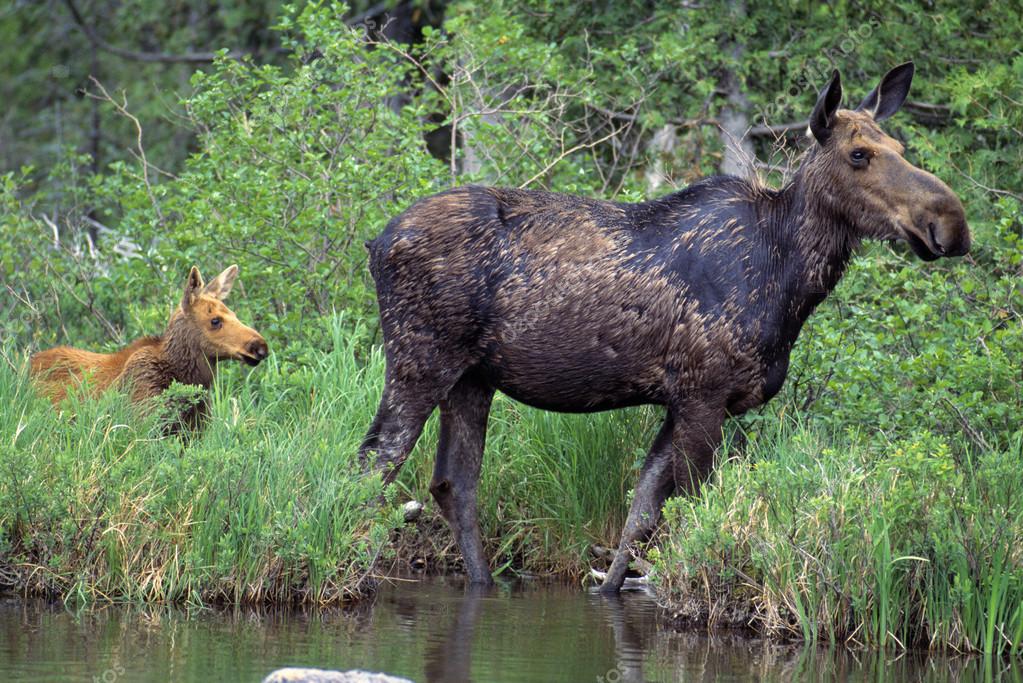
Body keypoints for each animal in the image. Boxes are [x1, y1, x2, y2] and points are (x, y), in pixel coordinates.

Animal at [358, 63, 970, 593]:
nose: (951, 223)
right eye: (859, 154)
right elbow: (695, 510)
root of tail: (376, 242)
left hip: (473, 378)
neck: (789, 282)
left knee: (452, 483)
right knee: (374, 465)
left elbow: (640, 516)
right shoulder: (704, 393)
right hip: (420, 360)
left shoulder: (678, 402)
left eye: (902, 148)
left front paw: (610, 589)